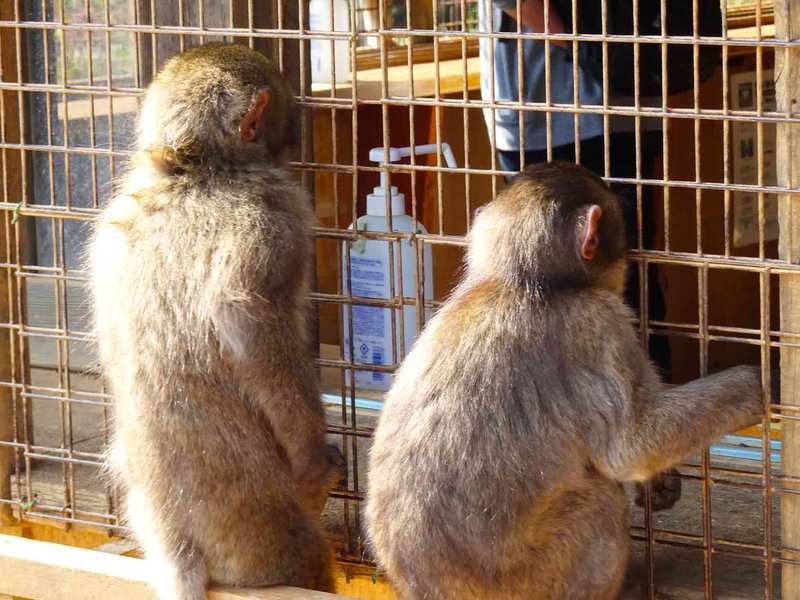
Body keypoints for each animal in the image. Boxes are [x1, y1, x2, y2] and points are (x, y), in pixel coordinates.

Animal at [88, 43, 339, 599]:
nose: (292, 136)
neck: (190, 167)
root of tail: (175, 537)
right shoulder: (277, 216)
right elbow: (248, 327)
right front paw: (314, 461)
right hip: (254, 523)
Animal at [364, 162, 764, 600]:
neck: (517, 282)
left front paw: (660, 484)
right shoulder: (597, 320)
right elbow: (632, 448)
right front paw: (758, 384)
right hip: (537, 576)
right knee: (602, 500)